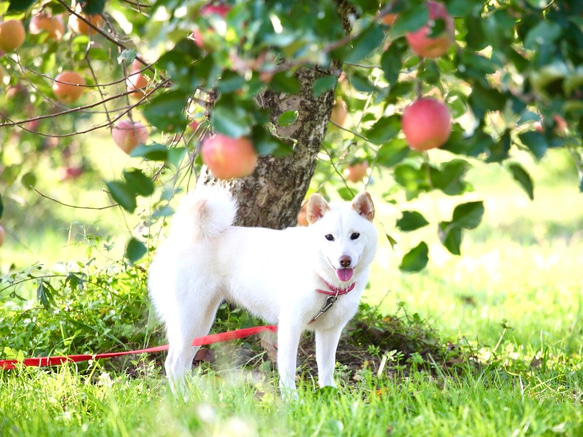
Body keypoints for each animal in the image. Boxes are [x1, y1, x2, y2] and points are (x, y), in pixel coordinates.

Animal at [149, 189, 378, 394]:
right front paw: (292, 402)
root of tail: (187, 235)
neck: (327, 282)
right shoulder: (290, 327)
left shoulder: (330, 331)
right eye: (329, 237)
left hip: (201, 323)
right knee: (173, 364)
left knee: (183, 363)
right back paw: (183, 400)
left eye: (355, 236)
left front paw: (329, 395)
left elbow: (326, 370)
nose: (344, 260)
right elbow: (288, 373)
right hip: (188, 320)